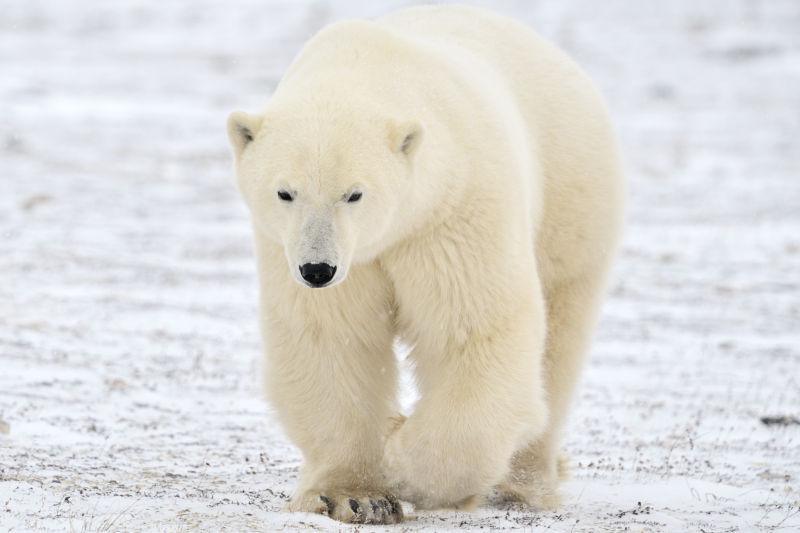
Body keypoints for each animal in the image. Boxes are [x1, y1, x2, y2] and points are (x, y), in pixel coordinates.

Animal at [225, 4, 624, 524]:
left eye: (355, 194)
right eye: (284, 192)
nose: (318, 270)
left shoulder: (451, 215)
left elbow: (472, 331)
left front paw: (401, 464)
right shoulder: (309, 253)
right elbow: (332, 339)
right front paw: (353, 495)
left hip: (572, 196)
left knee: (559, 336)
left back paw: (524, 483)